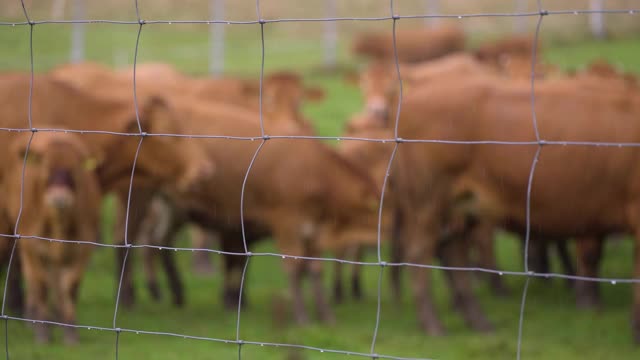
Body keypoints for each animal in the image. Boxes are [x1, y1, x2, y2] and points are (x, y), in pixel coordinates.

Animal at [1, 130, 101, 344]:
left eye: (73, 171)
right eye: (47, 169)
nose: (59, 198)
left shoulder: (84, 246)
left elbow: (70, 286)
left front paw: (70, 332)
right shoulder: (31, 245)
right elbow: (41, 284)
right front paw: (43, 332)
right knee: (34, 279)